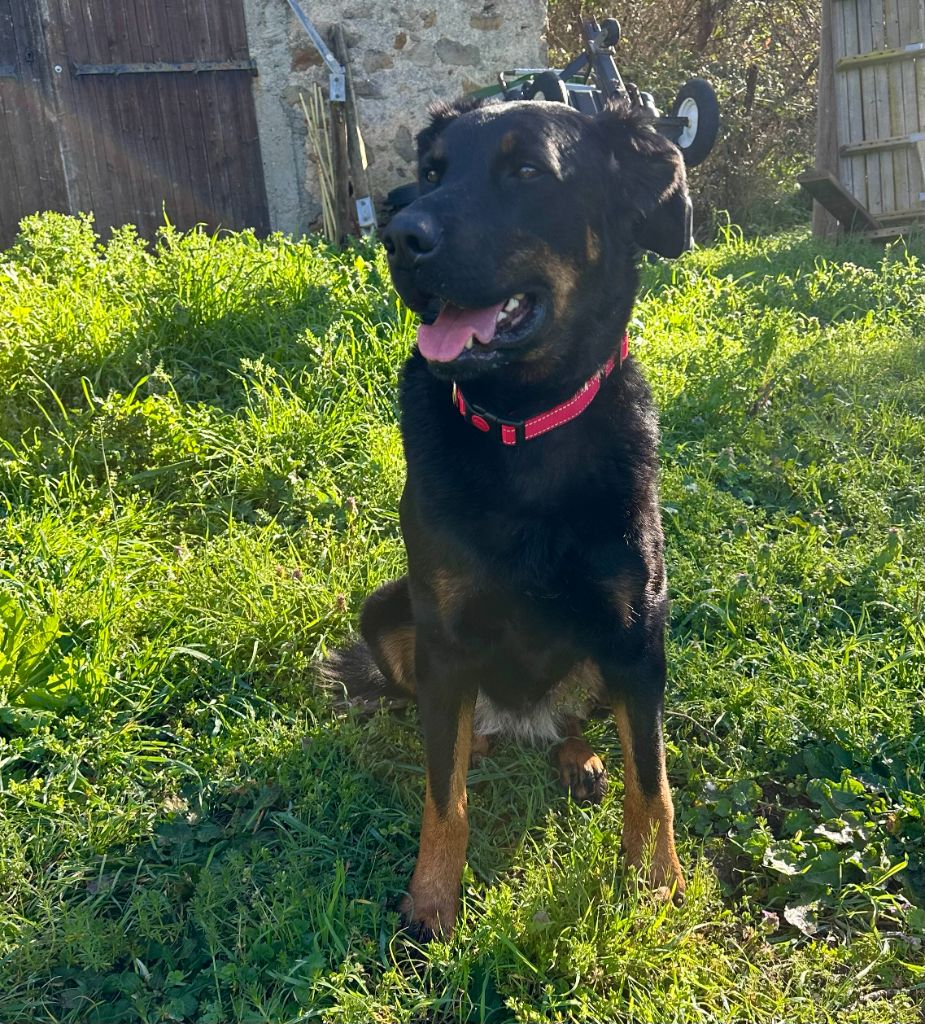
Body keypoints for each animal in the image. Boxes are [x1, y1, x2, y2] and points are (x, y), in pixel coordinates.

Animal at [330, 97, 691, 942]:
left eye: (526, 170)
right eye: (431, 173)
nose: (398, 235)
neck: (524, 423)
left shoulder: (636, 632)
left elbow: (651, 781)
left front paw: (655, 882)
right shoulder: (443, 637)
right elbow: (443, 801)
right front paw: (431, 900)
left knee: (577, 725)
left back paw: (576, 757)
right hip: (387, 609)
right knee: (464, 735)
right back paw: (485, 746)